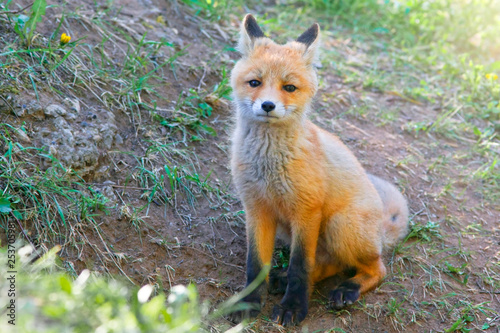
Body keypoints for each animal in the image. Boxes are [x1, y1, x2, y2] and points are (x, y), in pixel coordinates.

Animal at [229, 14, 408, 326]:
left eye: (289, 87)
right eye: (255, 82)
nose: (267, 105)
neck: (269, 166)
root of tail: (380, 229)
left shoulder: (307, 211)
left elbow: (301, 266)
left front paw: (293, 307)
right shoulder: (256, 209)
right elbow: (256, 265)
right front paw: (249, 303)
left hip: (341, 226)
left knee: (377, 268)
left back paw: (348, 289)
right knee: (328, 264)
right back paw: (283, 279)